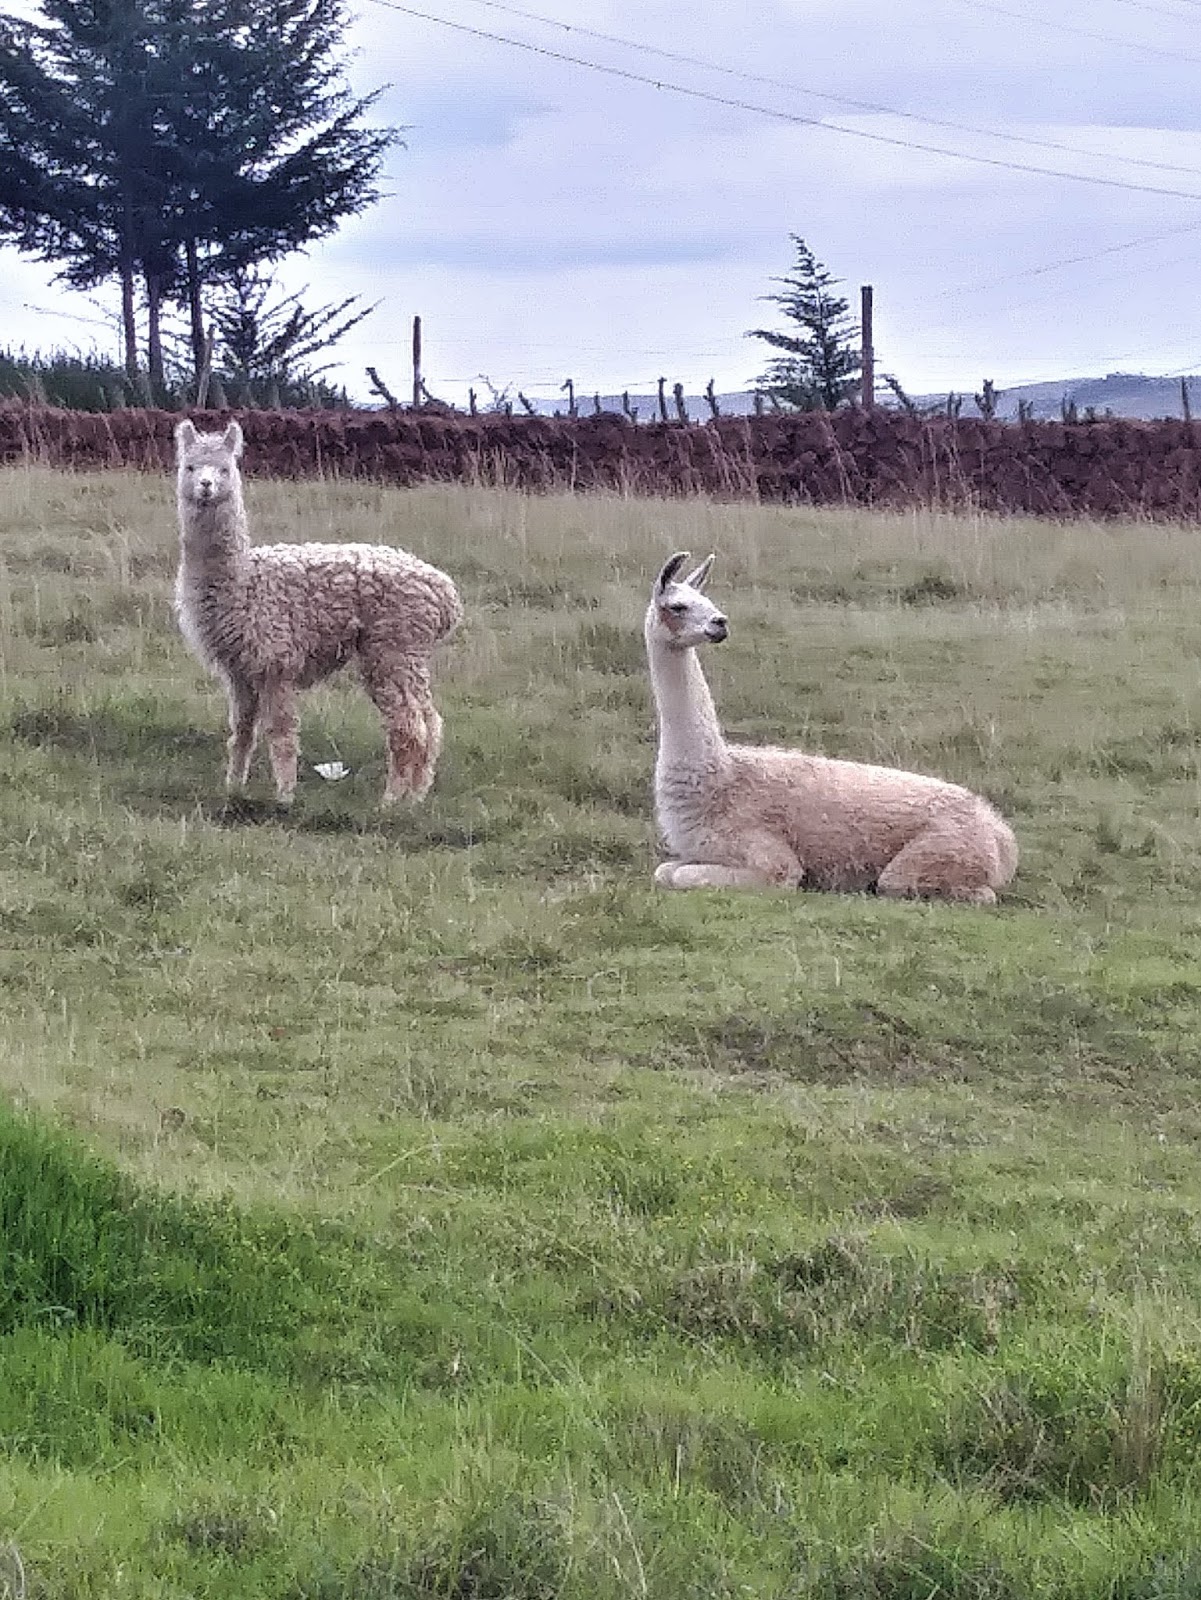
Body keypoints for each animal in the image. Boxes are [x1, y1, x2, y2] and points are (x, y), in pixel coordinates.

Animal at [173, 418, 462, 808]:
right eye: (190, 467)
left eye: (225, 469)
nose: (206, 486)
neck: (245, 581)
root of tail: (445, 594)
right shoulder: (240, 669)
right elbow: (242, 731)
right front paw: (233, 788)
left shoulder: (275, 661)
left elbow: (281, 731)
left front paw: (284, 796)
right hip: (408, 655)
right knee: (431, 722)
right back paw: (415, 798)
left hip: (393, 647)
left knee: (408, 726)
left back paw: (388, 803)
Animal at [645, 551, 1018, 903]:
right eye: (678, 606)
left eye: (708, 601)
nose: (720, 623)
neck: (720, 781)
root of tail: (1000, 832)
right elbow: (664, 871)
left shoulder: (769, 858)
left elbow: (684, 875)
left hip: (936, 854)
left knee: (942, 888)